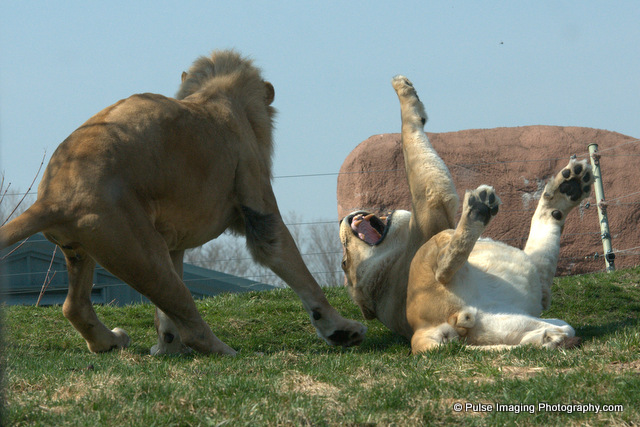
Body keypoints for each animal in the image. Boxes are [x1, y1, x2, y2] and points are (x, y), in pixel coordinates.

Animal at [0, 50, 366, 355]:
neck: (217, 93)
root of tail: (52, 197)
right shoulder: (257, 199)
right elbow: (295, 268)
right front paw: (341, 330)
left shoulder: (172, 239)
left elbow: (165, 317)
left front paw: (166, 348)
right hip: (140, 250)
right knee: (189, 319)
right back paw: (226, 352)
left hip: (90, 248)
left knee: (74, 306)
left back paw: (112, 342)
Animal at [339, 76, 592, 354]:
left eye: (343, 263)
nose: (341, 221)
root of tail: (422, 333)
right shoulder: (433, 205)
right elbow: (410, 137)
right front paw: (403, 90)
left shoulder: (539, 286)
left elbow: (548, 225)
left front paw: (568, 188)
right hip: (439, 244)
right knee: (443, 266)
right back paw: (478, 211)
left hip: (512, 320)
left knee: (544, 330)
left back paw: (550, 338)